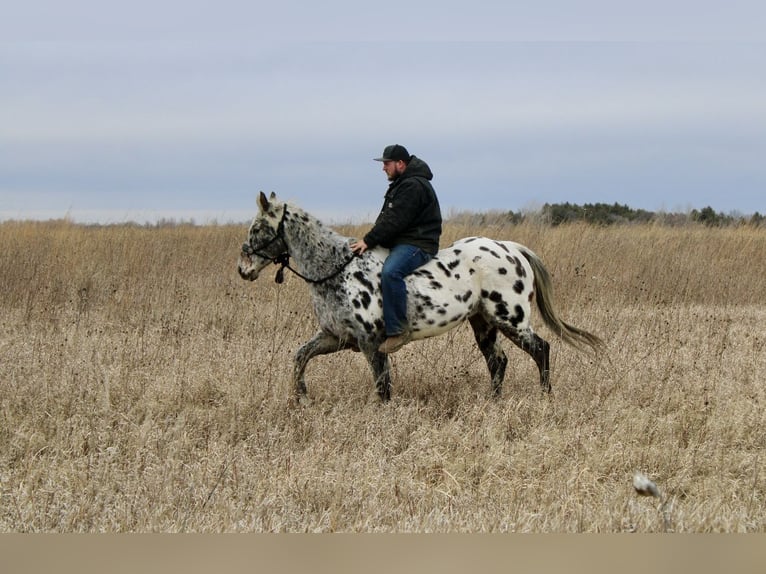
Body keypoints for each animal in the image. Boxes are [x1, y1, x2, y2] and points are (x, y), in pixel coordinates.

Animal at [237, 191, 604, 402]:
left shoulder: (371, 343)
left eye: (257, 228)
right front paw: (301, 397)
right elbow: (300, 357)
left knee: (541, 349)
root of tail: (511, 248)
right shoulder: (335, 337)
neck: (338, 270)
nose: (243, 269)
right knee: (498, 361)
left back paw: (545, 397)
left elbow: (382, 386)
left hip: (510, 318)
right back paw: (493, 402)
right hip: (483, 322)